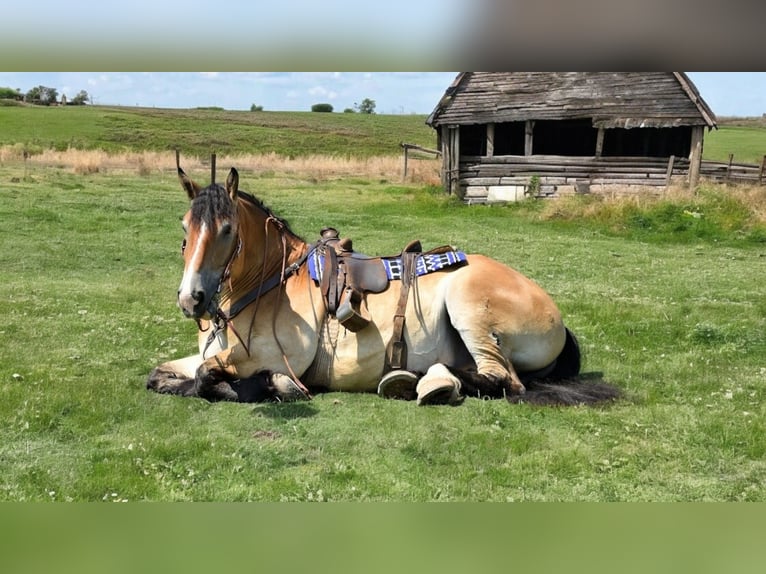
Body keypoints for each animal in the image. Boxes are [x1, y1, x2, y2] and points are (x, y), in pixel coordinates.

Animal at [147, 164, 620, 408]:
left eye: (227, 230)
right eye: (185, 227)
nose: (191, 299)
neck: (269, 284)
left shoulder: (277, 358)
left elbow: (207, 378)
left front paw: (272, 386)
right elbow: (160, 374)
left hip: (469, 308)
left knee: (501, 380)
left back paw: (424, 379)